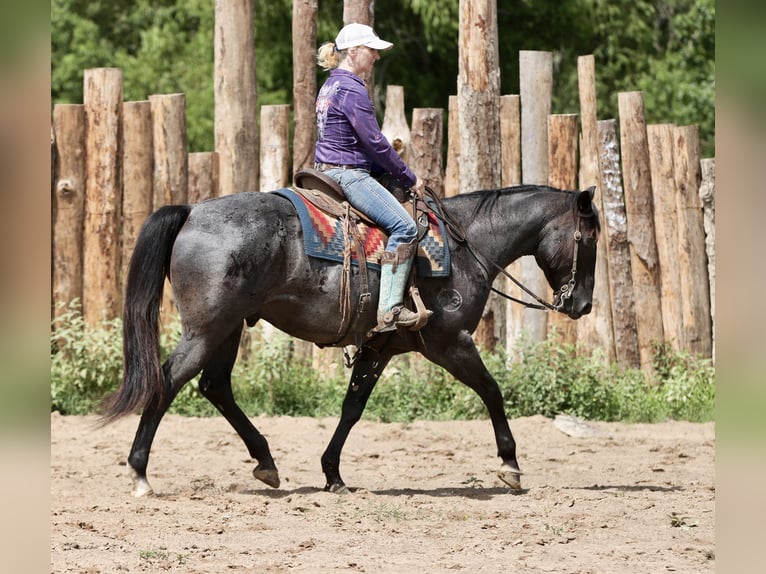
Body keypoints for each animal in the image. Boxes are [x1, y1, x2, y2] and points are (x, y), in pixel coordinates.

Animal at [103, 183, 600, 497]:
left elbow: (352, 408)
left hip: (227, 329)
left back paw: (266, 462)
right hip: (207, 330)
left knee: (215, 386)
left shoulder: (381, 347)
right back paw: (140, 472)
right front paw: (510, 465)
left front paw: (333, 473)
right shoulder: (449, 342)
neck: (465, 247)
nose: (582, 305)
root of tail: (191, 212)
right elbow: (492, 391)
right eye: (589, 238)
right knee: (168, 382)